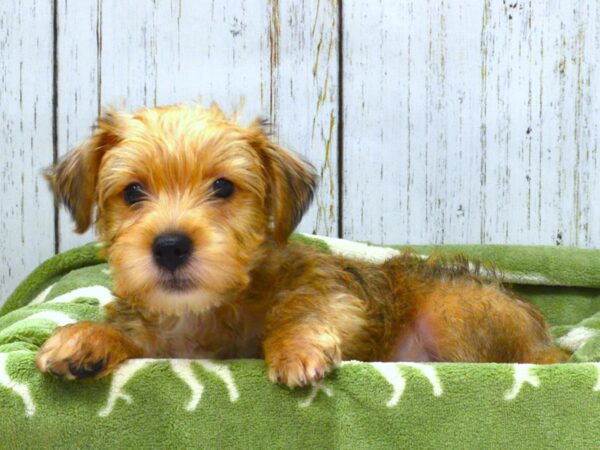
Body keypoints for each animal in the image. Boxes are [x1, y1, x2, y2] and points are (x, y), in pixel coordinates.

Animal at [35, 103, 564, 386]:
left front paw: (294, 349)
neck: (206, 310)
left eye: (223, 187)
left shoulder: (329, 288)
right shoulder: (159, 341)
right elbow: (132, 336)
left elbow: (300, 310)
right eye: (132, 192)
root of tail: (550, 344)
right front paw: (84, 338)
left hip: (453, 314)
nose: (169, 246)